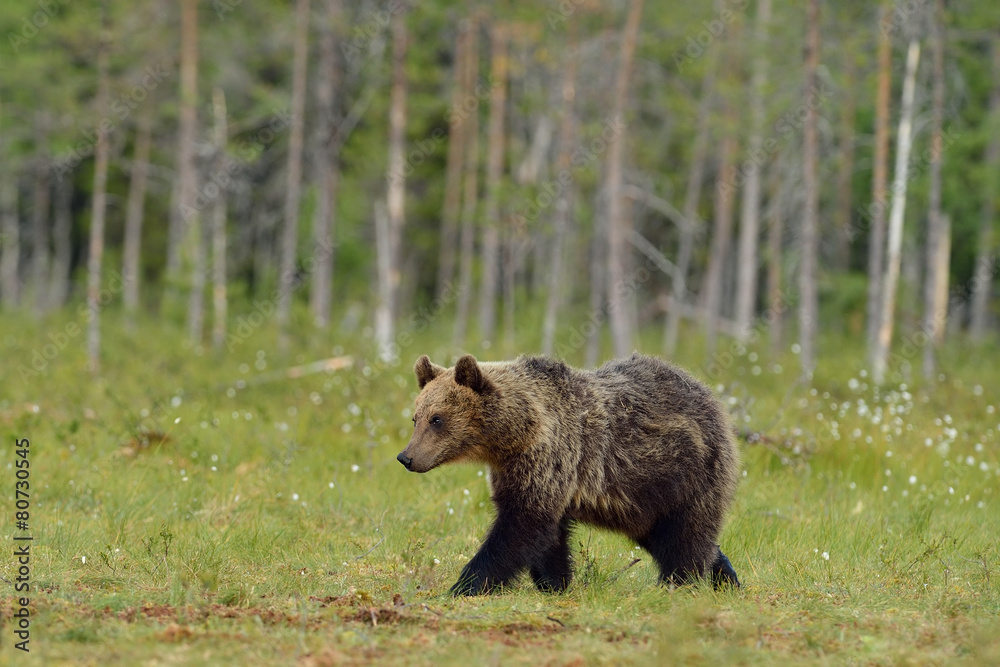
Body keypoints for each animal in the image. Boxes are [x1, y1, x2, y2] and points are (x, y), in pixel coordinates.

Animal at [396, 352, 741, 596]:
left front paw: (463, 585)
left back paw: (681, 582)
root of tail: (710, 395)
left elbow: (520, 526)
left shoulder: (551, 458)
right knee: (667, 535)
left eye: (437, 419)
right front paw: (555, 581)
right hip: (643, 500)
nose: (406, 457)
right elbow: (548, 535)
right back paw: (726, 577)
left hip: (687, 472)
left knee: (686, 535)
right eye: (416, 417)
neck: (515, 435)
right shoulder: (519, 470)